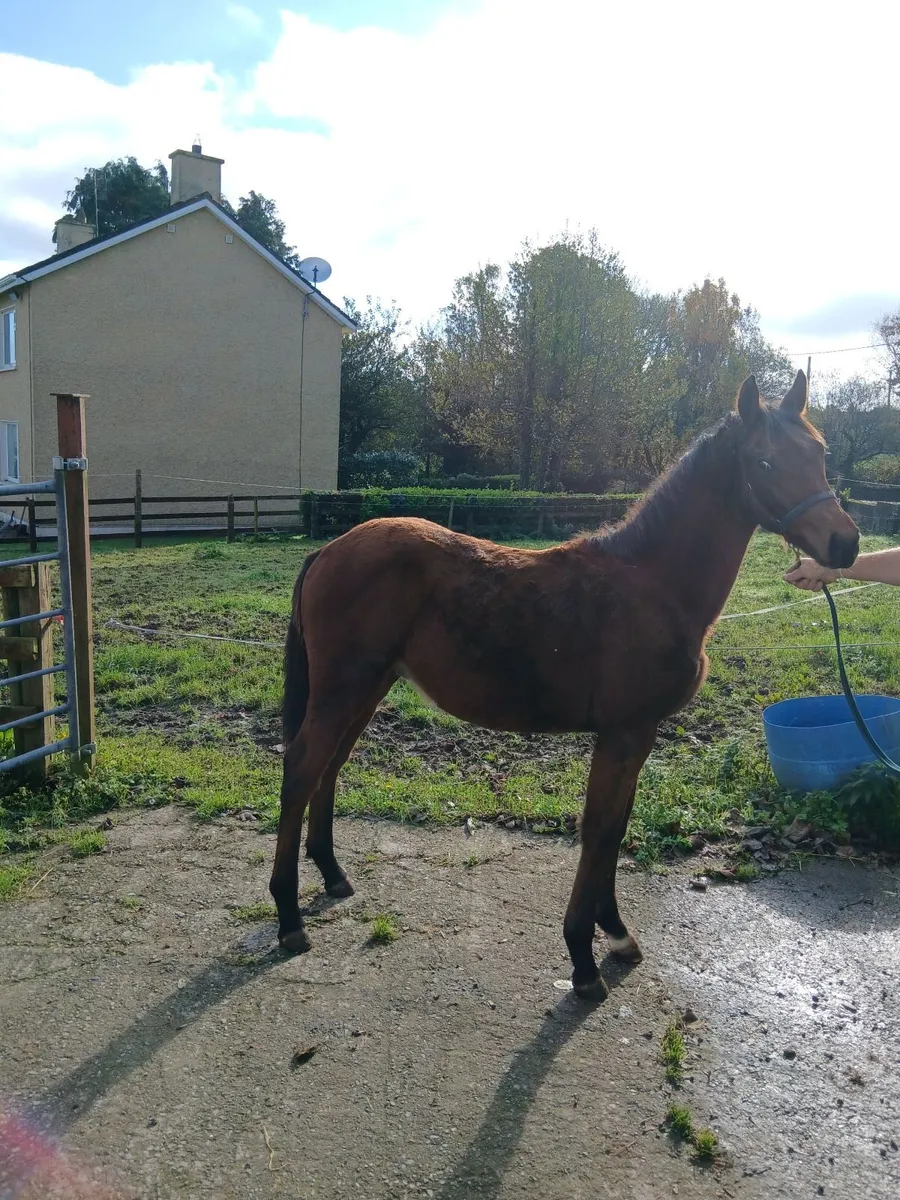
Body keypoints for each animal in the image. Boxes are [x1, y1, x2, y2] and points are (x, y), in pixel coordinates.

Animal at [269, 370, 859, 1000]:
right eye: (764, 461)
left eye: (820, 454)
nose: (844, 544)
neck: (654, 584)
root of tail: (328, 549)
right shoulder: (623, 731)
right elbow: (598, 828)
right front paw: (583, 958)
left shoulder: (639, 734)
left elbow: (616, 826)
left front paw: (616, 933)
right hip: (343, 688)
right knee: (301, 769)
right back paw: (289, 919)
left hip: (367, 687)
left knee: (328, 768)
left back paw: (332, 876)